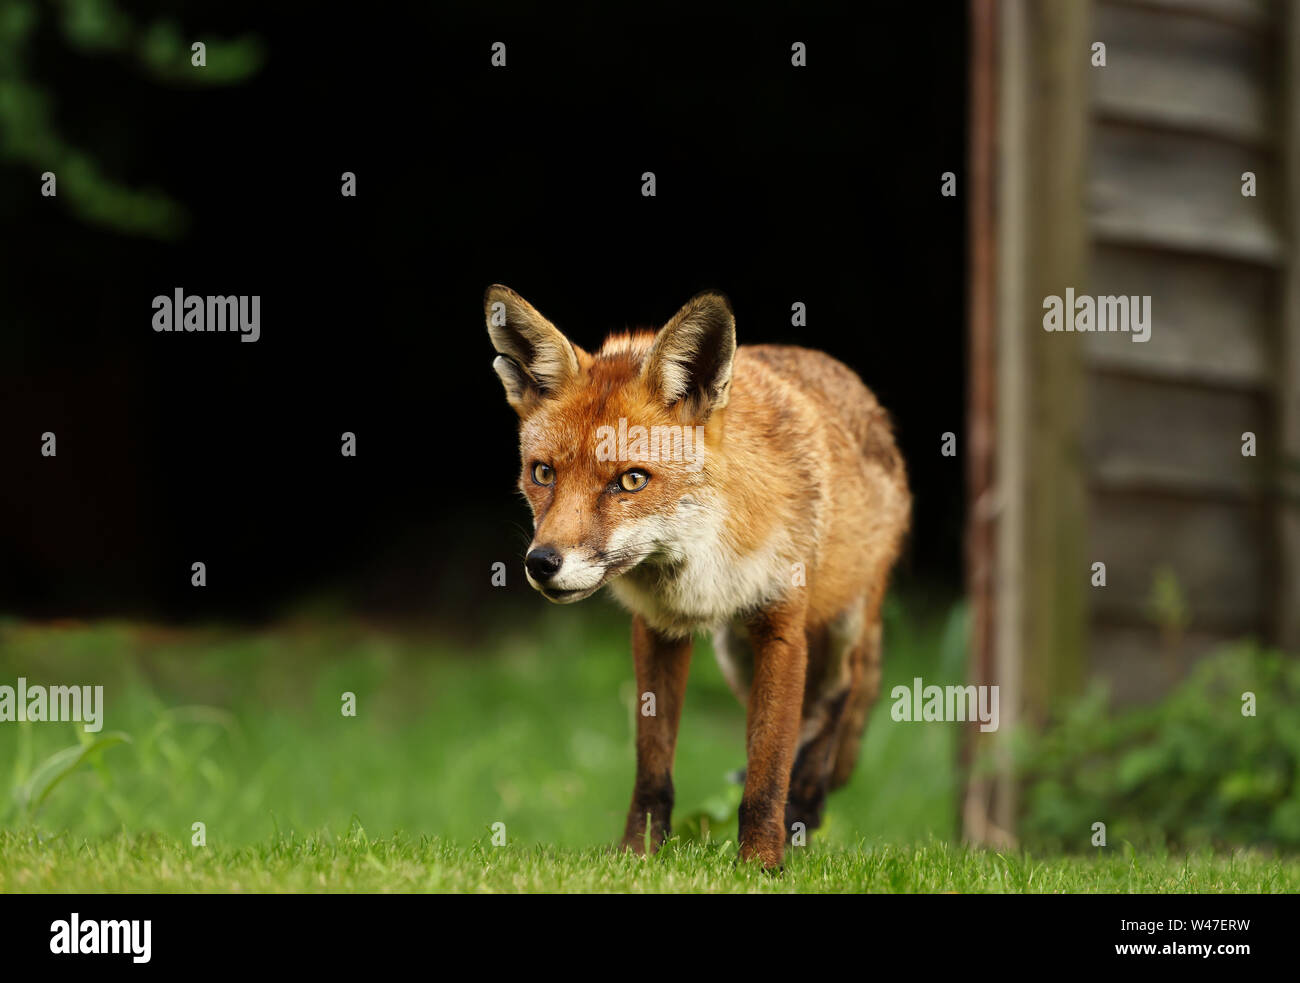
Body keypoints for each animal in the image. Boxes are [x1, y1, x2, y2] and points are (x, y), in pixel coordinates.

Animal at [488, 284, 915, 868]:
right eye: (543, 473)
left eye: (632, 480)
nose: (542, 562)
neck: (700, 565)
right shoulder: (658, 629)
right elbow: (653, 766)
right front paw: (639, 855)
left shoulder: (782, 627)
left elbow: (767, 769)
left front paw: (761, 864)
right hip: (735, 658)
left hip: (842, 627)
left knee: (836, 701)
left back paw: (804, 811)